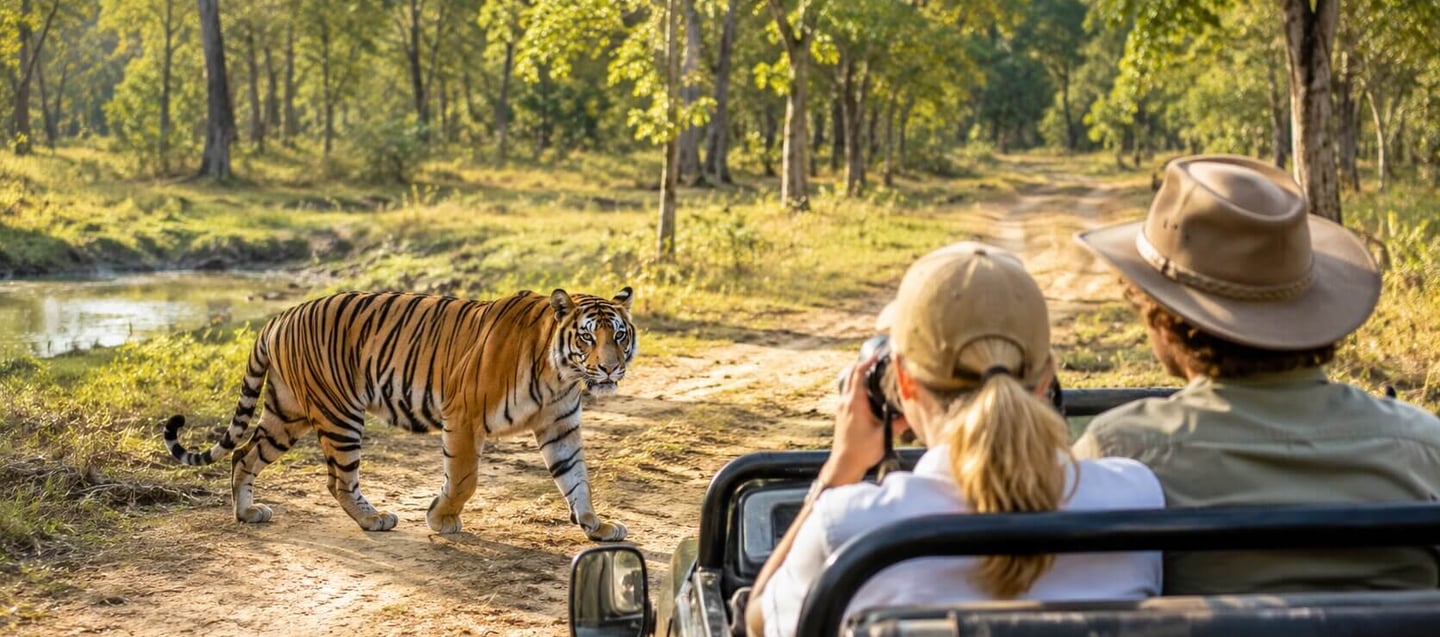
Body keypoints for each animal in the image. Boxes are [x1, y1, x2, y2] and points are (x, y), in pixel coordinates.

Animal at [162, 287, 636, 542]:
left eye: (619, 335)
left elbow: (577, 480)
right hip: (339, 413)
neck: (560, 374)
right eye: (588, 337)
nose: (610, 368)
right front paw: (441, 518)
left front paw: (595, 525)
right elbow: (464, 478)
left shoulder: (560, 427)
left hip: (286, 414)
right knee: (338, 480)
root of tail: (279, 316)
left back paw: (247, 514)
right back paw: (374, 519)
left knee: (244, 455)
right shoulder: (463, 416)